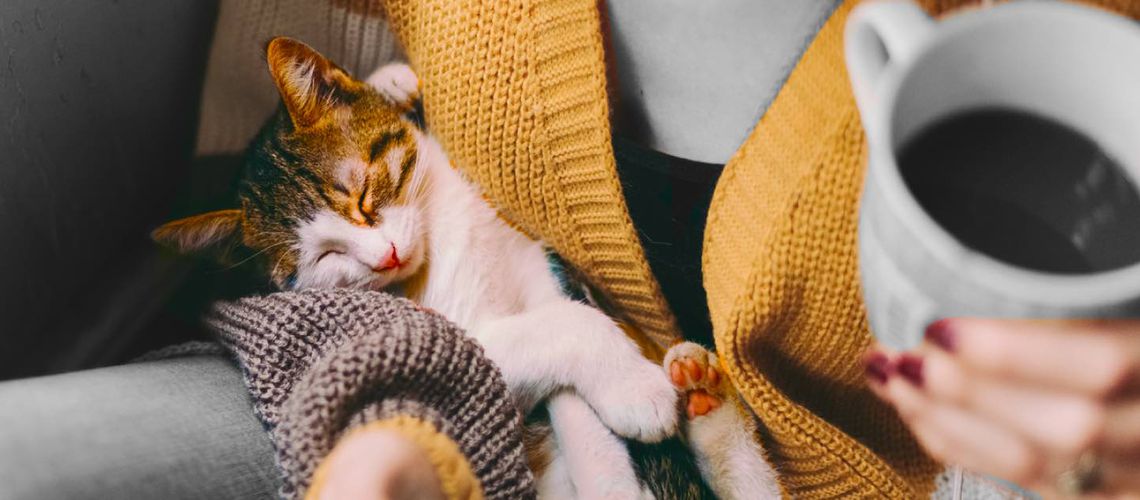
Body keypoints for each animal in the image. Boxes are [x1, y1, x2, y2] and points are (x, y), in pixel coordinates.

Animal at [156, 37, 779, 498]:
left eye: (363, 196)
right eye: (321, 259)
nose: (386, 255)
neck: (441, 231)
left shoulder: (544, 270)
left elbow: (569, 335)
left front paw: (392, 82)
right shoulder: (451, 337)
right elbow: (564, 329)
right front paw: (634, 391)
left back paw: (708, 405)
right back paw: (702, 402)